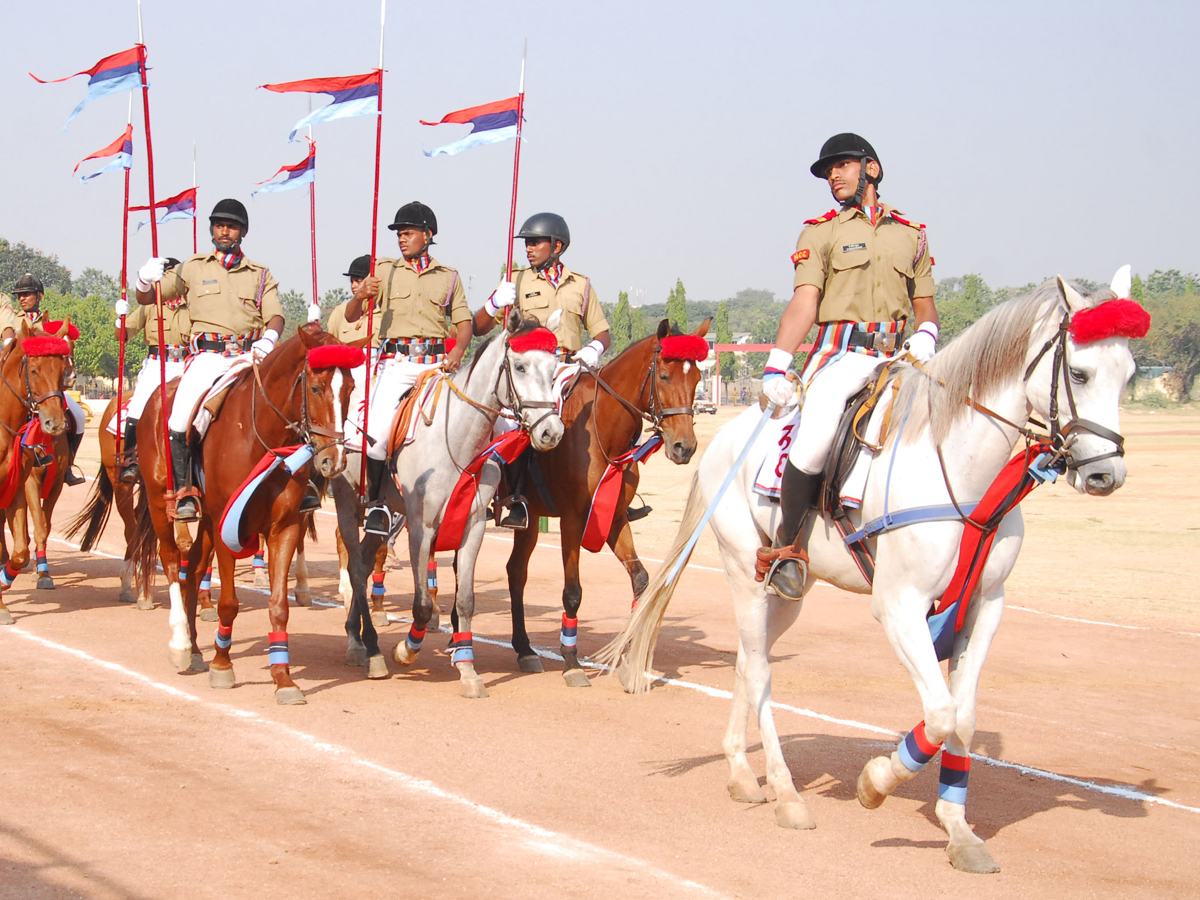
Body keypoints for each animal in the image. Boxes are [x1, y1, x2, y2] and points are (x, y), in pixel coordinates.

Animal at [132, 328, 355, 710]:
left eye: (352, 388)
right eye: (315, 388)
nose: (334, 460)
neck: (261, 436)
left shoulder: (284, 527)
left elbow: (279, 606)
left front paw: (283, 679)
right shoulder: (228, 525)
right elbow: (228, 603)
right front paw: (223, 666)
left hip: (206, 520)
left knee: (193, 566)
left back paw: (195, 647)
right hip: (161, 501)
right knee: (172, 559)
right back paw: (180, 643)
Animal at [333, 314, 566, 700]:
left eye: (554, 370)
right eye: (519, 366)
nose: (551, 432)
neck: (458, 442)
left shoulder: (473, 527)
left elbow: (466, 599)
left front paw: (468, 671)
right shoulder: (421, 527)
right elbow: (422, 605)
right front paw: (407, 650)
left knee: (363, 565)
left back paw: (360, 638)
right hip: (347, 499)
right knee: (353, 565)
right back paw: (364, 647)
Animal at [487, 321, 710, 686]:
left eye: (697, 379)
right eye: (664, 376)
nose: (684, 447)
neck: (602, 430)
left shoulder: (616, 518)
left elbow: (641, 581)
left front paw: (630, 658)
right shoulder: (572, 520)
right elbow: (572, 591)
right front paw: (571, 661)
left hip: (530, 520)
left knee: (516, 572)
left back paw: (524, 649)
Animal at [600, 273, 1142, 873]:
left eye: (1129, 375)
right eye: (1080, 373)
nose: (1106, 473)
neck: (960, 472)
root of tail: (723, 441)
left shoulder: (985, 604)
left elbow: (964, 716)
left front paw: (959, 832)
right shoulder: (900, 605)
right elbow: (940, 713)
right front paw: (878, 781)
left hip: (787, 590)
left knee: (748, 659)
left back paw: (742, 772)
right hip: (744, 570)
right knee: (760, 671)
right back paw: (787, 794)